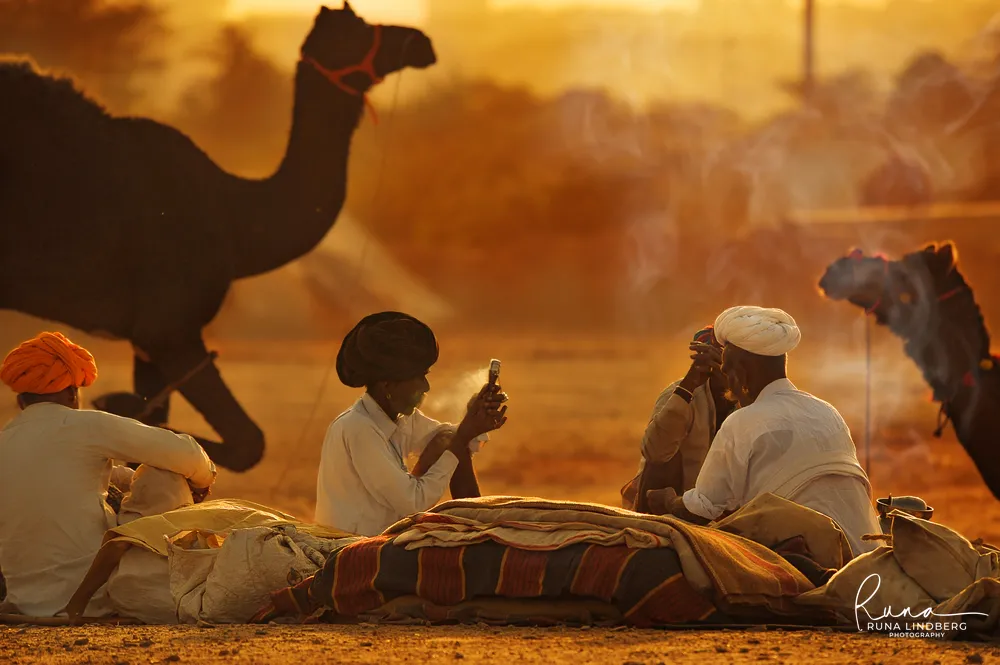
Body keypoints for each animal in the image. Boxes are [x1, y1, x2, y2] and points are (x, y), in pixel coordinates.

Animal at [0, 3, 437, 471]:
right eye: (357, 30)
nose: (420, 42)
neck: (234, 218)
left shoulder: (147, 340)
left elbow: (153, 423)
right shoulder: (169, 329)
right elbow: (246, 442)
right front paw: (111, 400)